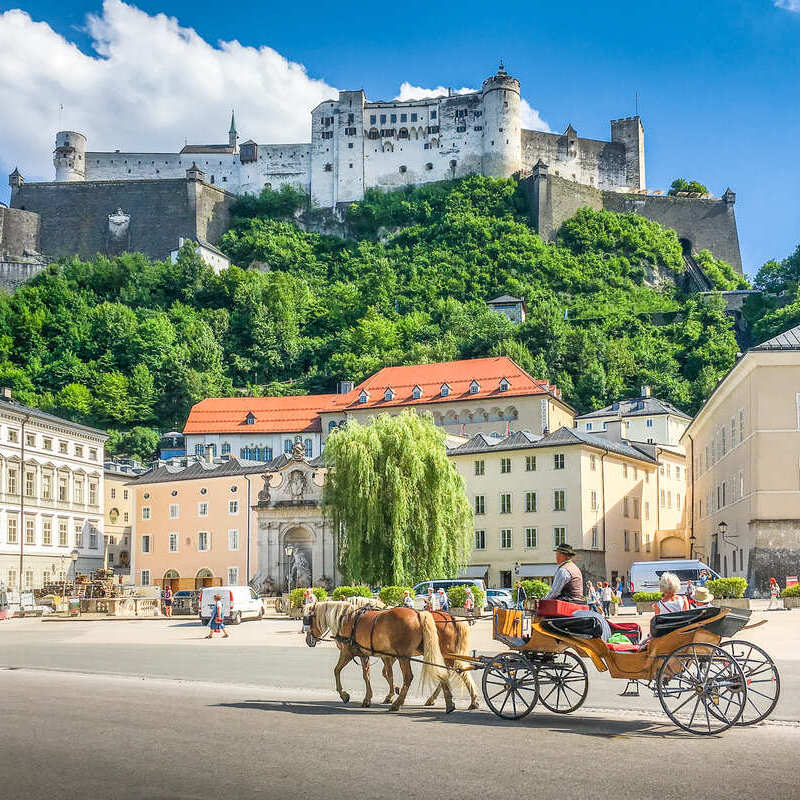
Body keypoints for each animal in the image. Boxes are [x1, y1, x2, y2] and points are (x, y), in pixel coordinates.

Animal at [314, 600, 460, 712]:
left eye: (310, 618)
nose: (310, 640)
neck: (350, 619)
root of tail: (418, 614)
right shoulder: (367, 654)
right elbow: (370, 675)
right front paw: (370, 698)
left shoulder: (347, 652)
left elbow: (337, 670)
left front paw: (344, 695)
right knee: (442, 673)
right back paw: (448, 703)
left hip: (404, 656)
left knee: (409, 677)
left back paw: (398, 703)